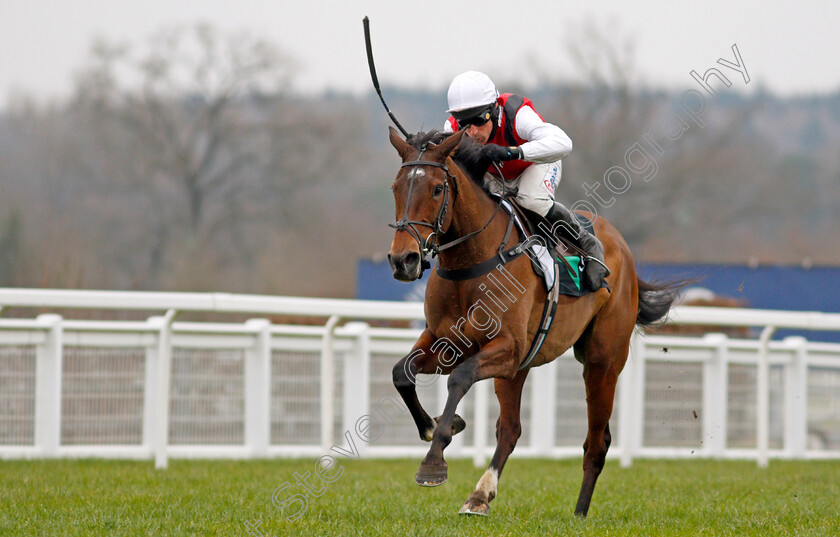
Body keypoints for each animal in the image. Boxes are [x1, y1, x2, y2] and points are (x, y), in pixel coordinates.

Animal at [386, 125, 684, 516]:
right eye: (396, 186)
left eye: (437, 188)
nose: (402, 259)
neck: (472, 262)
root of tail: (621, 245)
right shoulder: (447, 341)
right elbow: (401, 373)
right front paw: (435, 425)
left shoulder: (507, 349)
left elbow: (459, 378)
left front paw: (433, 461)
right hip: (519, 369)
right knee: (511, 429)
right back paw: (480, 495)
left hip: (602, 361)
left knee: (597, 440)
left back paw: (579, 513)